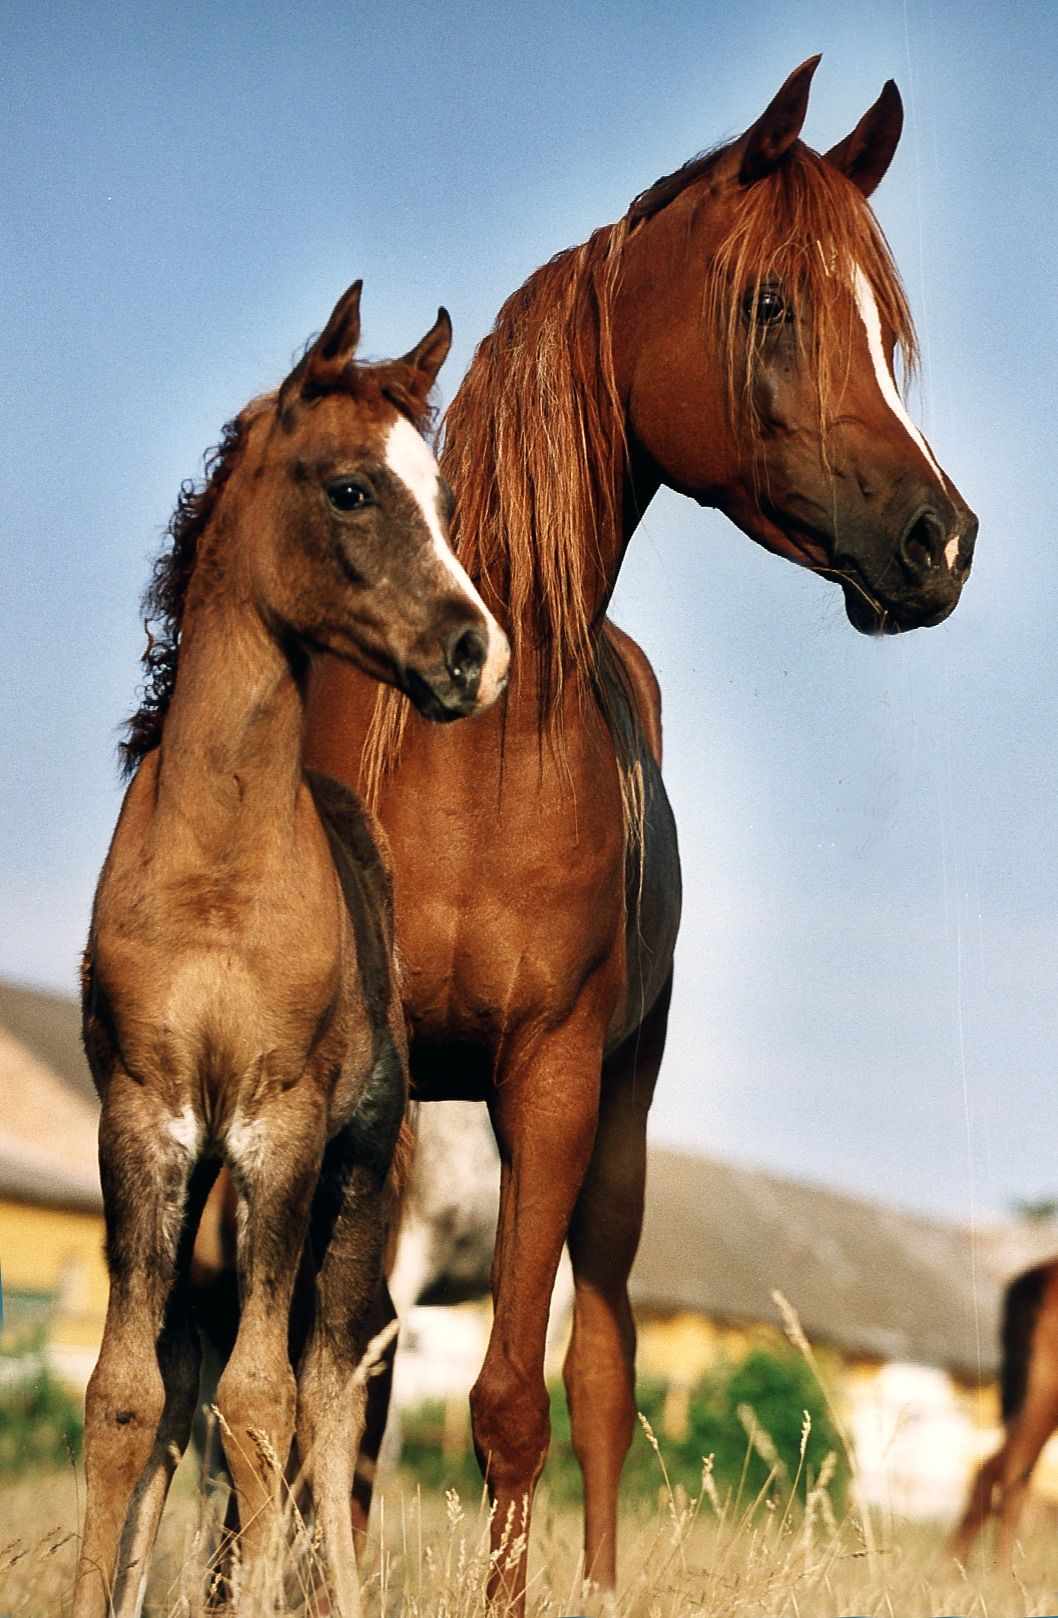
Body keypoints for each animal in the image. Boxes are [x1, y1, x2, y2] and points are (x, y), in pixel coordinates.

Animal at [71, 281, 511, 1618]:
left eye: (444, 499)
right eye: (351, 489)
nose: (476, 653)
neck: (220, 868)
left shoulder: (284, 1126)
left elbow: (266, 1405)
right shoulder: (148, 1116)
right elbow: (127, 1398)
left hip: (357, 1185)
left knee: (328, 1394)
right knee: (189, 1385)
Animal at [304, 57, 977, 1611]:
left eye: (885, 326)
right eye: (772, 303)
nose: (943, 542)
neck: (463, 752)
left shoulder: (549, 1081)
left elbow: (509, 1402)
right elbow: (323, 1376)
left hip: (615, 1123)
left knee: (600, 1368)